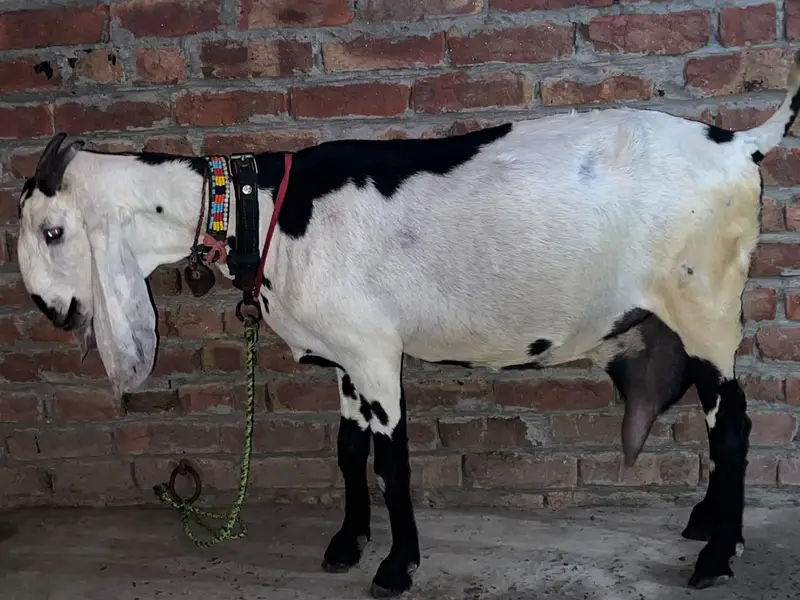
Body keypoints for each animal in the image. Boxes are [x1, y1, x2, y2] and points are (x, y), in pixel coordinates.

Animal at [16, 52, 800, 598]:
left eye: (53, 232)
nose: (50, 312)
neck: (259, 208)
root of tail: (740, 145)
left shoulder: (374, 354)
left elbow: (391, 462)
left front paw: (396, 566)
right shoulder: (346, 357)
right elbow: (347, 451)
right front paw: (346, 543)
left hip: (707, 308)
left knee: (733, 427)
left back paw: (716, 556)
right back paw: (706, 523)